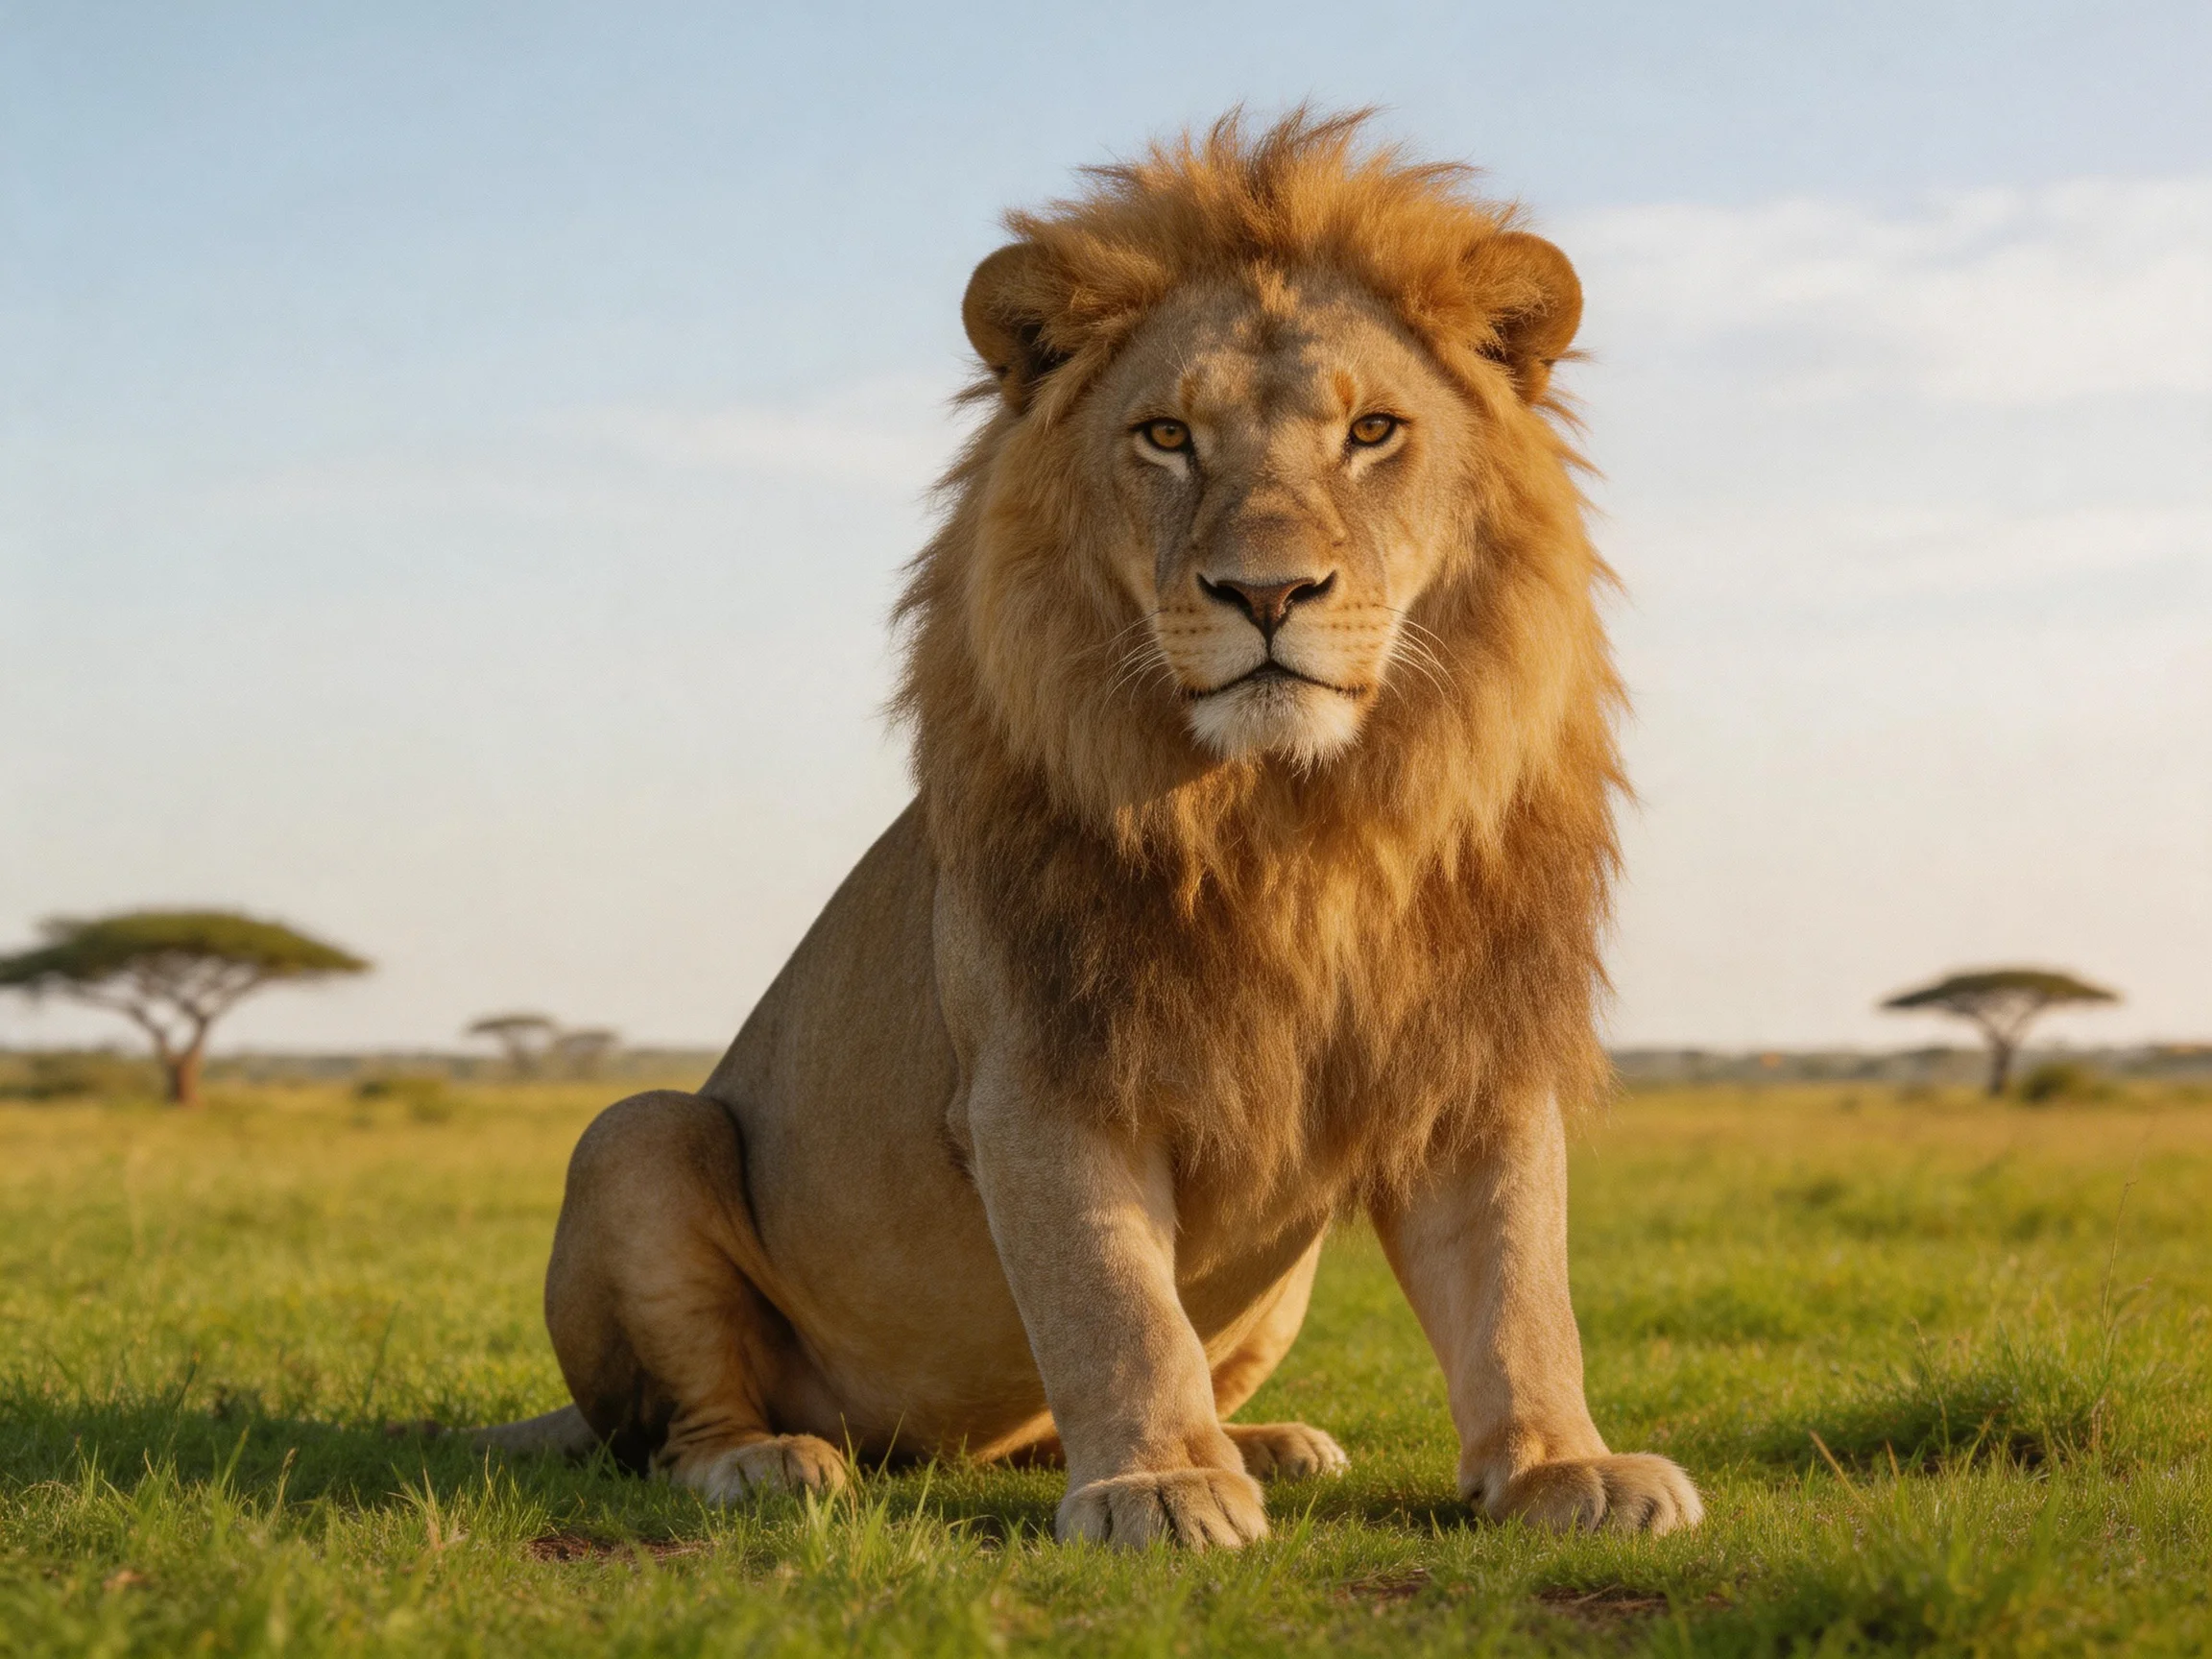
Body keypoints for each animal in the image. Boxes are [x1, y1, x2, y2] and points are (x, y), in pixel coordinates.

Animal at [483, 110, 1702, 1548]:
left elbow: (1520, 1288)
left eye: (1374, 431)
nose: (1267, 591)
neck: (1300, 826)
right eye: (1166, 435)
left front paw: (1567, 1466)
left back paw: (1267, 1440)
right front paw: (1160, 1484)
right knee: (678, 1420)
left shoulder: (1470, 1059)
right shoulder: (1043, 1069)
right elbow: (1112, 1301)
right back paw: (767, 1461)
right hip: (635, 1136)